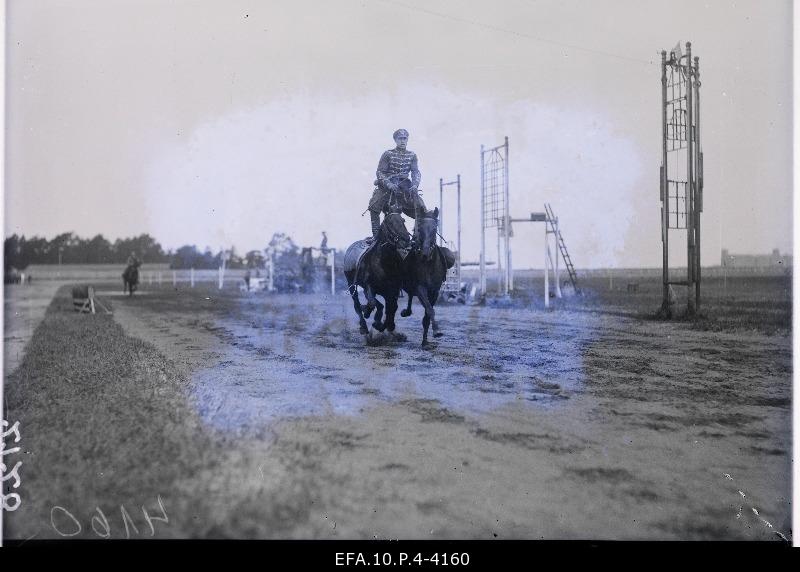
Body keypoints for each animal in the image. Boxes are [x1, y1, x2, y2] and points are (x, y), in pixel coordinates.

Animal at [400, 208, 456, 346]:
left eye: (434, 229)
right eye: (419, 228)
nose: (425, 253)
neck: (429, 264)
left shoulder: (434, 291)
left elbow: (427, 314)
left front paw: (425, 340)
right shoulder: (421, 288)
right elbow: (430, 309)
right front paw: (437, 331)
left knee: (410, 297)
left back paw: (407, 312)